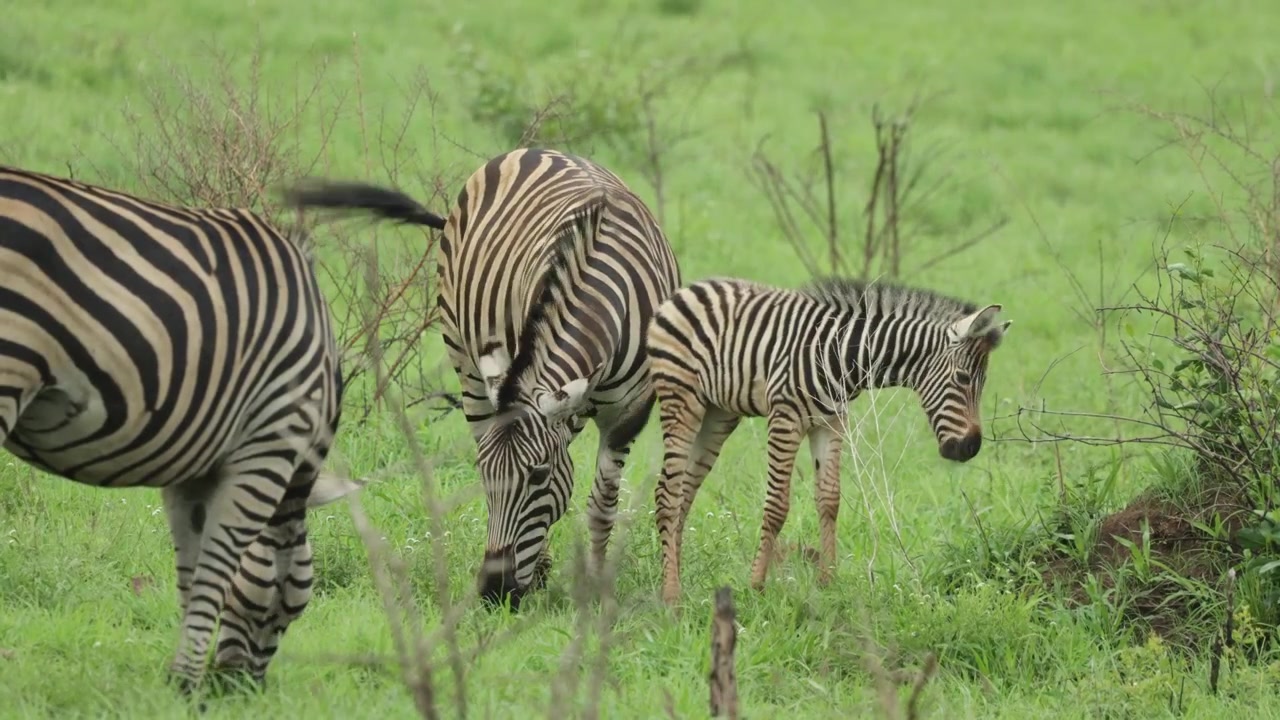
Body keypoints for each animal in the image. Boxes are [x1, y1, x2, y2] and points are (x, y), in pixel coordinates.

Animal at [0, 165, 363, 691]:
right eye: (290, 610)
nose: (241, 692)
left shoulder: (194, 467)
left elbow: (192, 573)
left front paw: (179, 684)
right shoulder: (268, 444)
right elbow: (217, 567)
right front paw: (186, 683)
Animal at [284, 148, 682, 608]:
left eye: (539, 475)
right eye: (483, 474)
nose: (495, 590)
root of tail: (527, 151)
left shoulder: (628, 412)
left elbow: (602, 502)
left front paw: (599, 588)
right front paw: (545, 573)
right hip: (466, 360)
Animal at [645, 275, 1011, 606]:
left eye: (983, 383)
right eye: (962, 378)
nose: (970, 448)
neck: (845, 356)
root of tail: (689, 288)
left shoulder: (831, 422)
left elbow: (830, 499)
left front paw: (827, 582)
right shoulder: (786, 417)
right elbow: (777, 506)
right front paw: (756, 586)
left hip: (718, 414)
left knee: (685, 492)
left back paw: (675, 579)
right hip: (683, 398)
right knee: (667, 492)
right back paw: (672, 596)